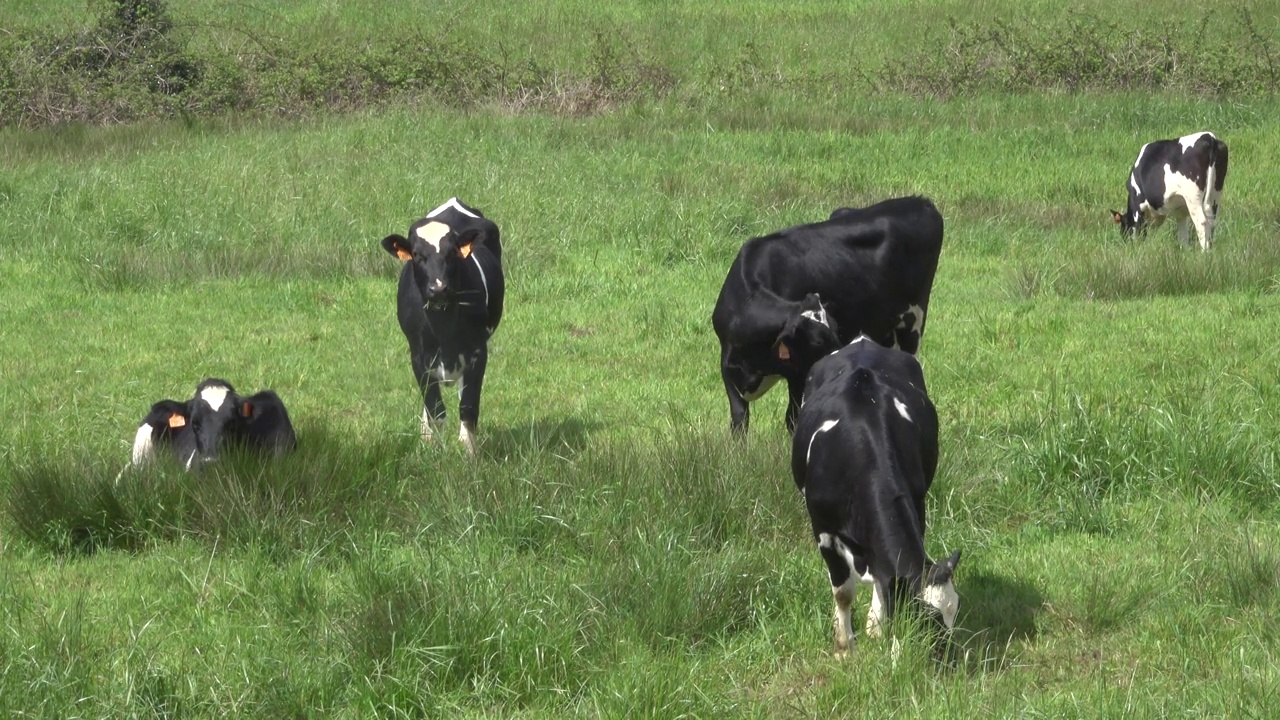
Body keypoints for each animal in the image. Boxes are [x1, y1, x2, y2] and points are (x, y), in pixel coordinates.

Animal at [376, 196, 501, 453]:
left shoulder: (478, 351)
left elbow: (468, 407)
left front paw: (469, 454)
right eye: (416, 254)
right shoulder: (417, 355)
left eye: (453, 253)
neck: (443, 326)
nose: (438, 288)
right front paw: (435, 451)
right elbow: (435, 409)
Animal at [711, 193, 942, 435]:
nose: (838, 359)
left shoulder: (798, 372)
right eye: (817, 341)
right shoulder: (728, 366)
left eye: (835, 329)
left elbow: (793, 418)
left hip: (913, 324)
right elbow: (739, 419)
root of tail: (919, 201)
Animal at [788, 333, 962, 653]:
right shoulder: (823, 529)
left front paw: (877, 628)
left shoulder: (917, 505)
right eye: (925, 616)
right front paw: (845, 647)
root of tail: (862, 341)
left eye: (953, 609)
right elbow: (843, 592)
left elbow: (885, 582)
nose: (948, 656)